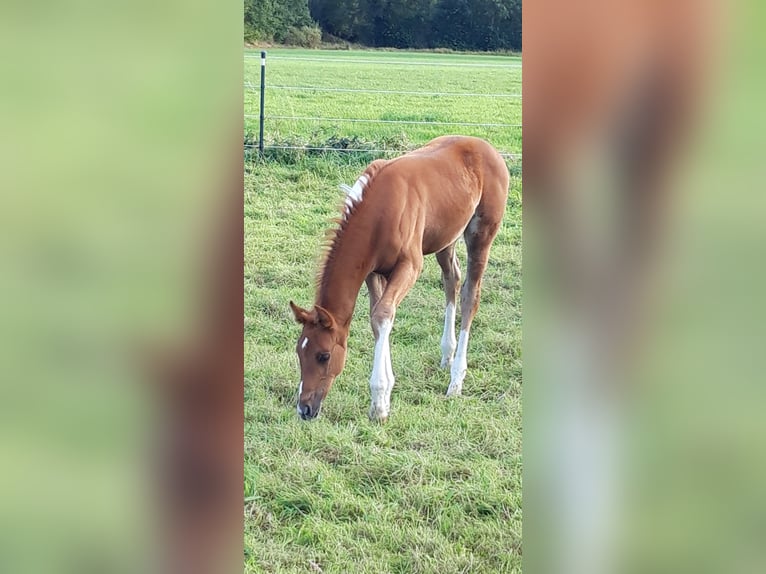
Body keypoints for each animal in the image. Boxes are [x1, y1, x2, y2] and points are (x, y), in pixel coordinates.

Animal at [292, 136, 512, 424]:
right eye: (299, 351)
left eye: (323, 355)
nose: (304, 409)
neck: (380, 210)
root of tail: (487, 147)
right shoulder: (373, 272)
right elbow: (378, 320)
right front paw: (384, 401)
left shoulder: (410, 266)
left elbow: (383, 315)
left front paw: (379, 402)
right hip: (446, 238)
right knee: (451, 280)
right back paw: (447, 354)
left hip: (481, 235)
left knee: (469, 295)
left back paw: (456, 381)